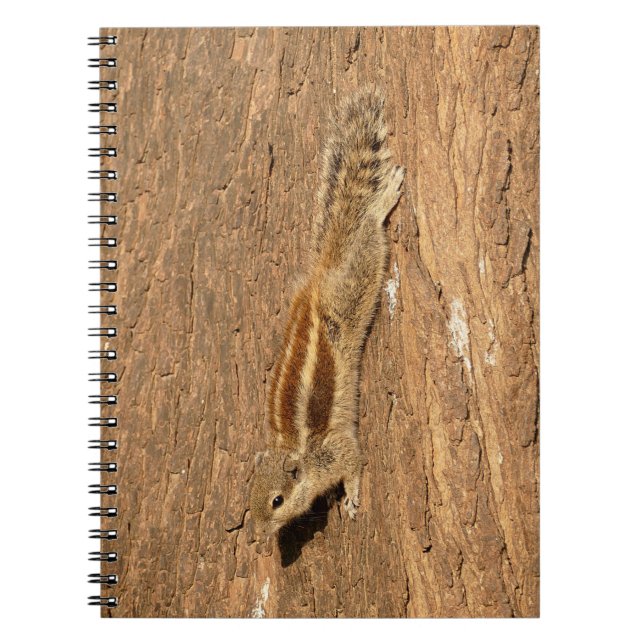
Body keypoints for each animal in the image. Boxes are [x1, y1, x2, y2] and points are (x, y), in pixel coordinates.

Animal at [250, 86, 405, 535]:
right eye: (249, 500)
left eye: (277, 500)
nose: (259, 535)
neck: (295, 451)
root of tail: (321, 274)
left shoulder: (336, 450)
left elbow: (354, 462)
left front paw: (351, 498)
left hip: (355, 284)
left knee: (367, 234)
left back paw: (382, 202)